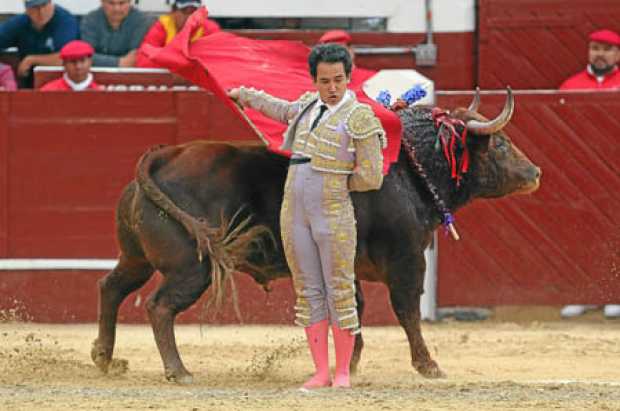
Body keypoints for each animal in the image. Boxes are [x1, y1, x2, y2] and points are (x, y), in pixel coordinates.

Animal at [89, 89, 540, 384]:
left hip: (137, 257)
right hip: (190, 267)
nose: (535, 172)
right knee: (159, 307)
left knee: (112, 287)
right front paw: (429, 366)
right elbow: (407, 312)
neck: (408, 169)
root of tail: (162, 157)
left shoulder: (348, 264)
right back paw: (178, 371)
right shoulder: (407, 260)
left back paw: (105, 358)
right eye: (500, 144)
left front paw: (349, 366)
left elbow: (353, 309)